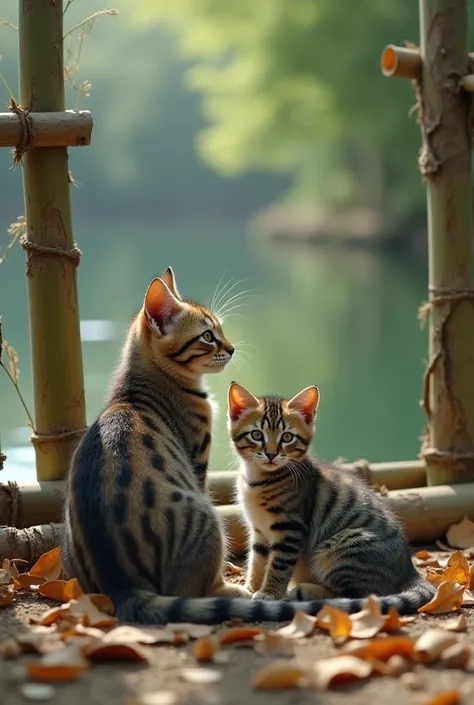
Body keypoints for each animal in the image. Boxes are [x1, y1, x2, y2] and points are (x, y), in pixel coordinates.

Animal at [228, 380, 436, 612]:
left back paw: (304, 591)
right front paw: (251, 588)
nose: (271, 454)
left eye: (287, 437)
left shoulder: (291, 529)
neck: (257, 479)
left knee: (362, 595)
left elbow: (278, 565)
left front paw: (269, 593)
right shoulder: (258, 530)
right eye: (257, 435)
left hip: (341, 548)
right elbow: (257, 561)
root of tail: (408, 569)